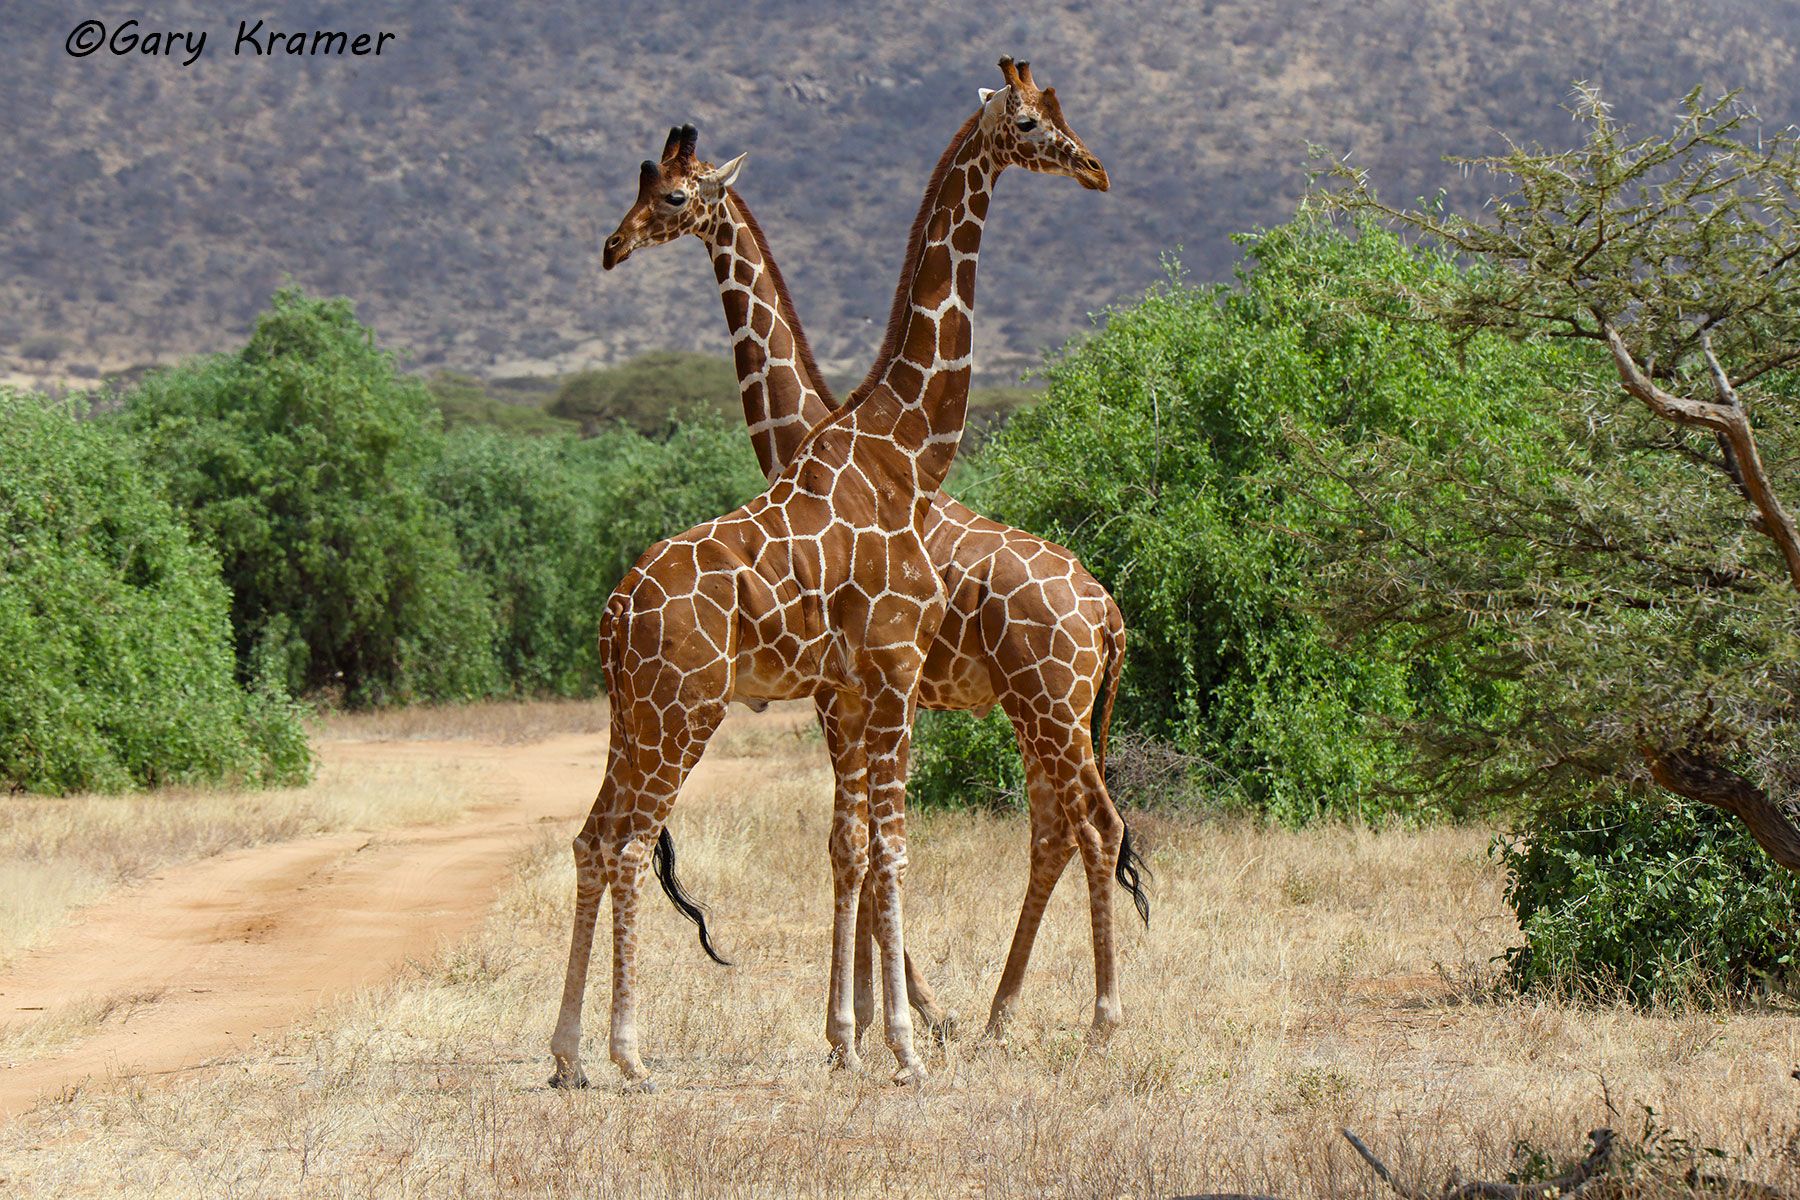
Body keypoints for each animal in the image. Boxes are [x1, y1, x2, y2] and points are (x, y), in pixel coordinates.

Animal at [551, 57, 1108, 1091]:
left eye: (670, 194)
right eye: (1027, 121)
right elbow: (877, 847)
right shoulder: (873, 682)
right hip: (686, 711)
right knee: (626, 841)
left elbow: (859, 845)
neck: (901, 447)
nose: (1093, 167)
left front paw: (864, 1035)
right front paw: (893, 1042)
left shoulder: (857, 689)